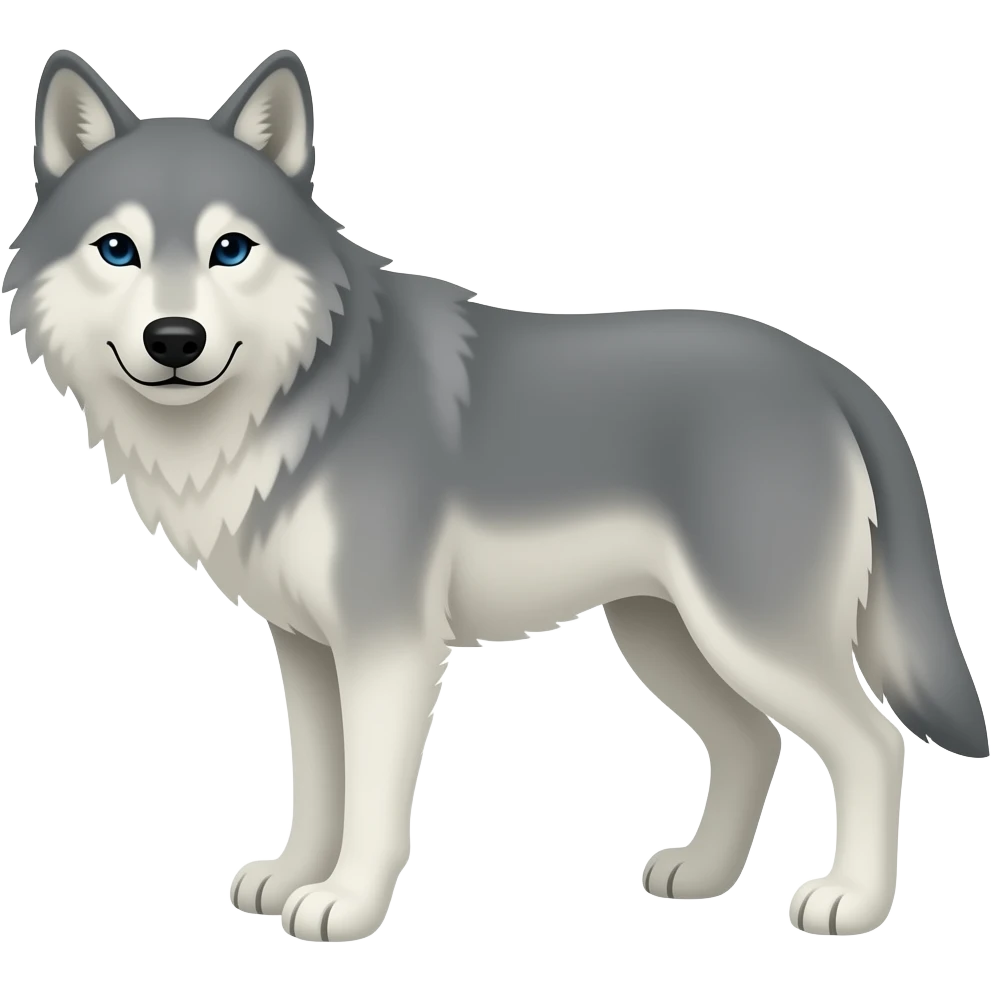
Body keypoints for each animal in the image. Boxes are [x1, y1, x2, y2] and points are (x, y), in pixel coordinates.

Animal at [3, 48, 987, 943]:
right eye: (118, 250)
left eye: (230, 250)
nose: (175, 339)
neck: (300, 401)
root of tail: (829, 371)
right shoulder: (306, 647)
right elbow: (317, 783)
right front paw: (289, 877)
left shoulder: (389, 647)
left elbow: (372, 800)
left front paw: (345, 904)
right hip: (665, 636)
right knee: (752, 742)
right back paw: (702, 875)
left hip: (750, 636)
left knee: (871, 744)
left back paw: (850, 901)